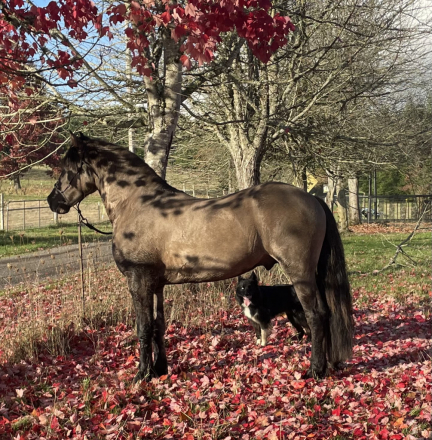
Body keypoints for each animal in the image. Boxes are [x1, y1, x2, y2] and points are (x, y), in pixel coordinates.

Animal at [47, 131, 352, 382]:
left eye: (67, 168)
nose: (53, 201)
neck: (138, 204)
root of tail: (312, 199)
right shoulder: (156, 284)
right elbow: (158, 326)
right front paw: (160, 370)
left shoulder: (139, 280)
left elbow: (143, 327)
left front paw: (141, 375)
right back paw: (329, 365)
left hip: (300, 273)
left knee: (316, 315)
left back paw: (315, 370)